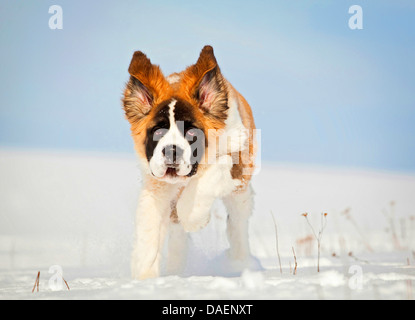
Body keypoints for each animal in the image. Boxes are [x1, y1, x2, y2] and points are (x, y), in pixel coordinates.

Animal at [122, 45, 256, 280]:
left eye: (192, 132)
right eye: (158, 131)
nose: (171, 151)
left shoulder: (236, 159)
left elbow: (204, 184)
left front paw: (196, 219)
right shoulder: (156, 184)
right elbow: (148, 230)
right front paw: (144, 278)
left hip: (241, 192)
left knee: (238, 223)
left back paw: (239, 263)